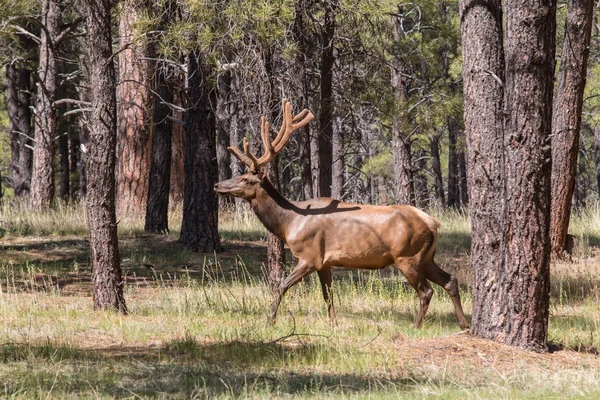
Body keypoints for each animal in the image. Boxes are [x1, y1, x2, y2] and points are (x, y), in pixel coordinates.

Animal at [214, 98, 468, 330]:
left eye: (245, 179)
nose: (217, 185)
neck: (288, 224)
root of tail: (433, 223)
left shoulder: (310, 256)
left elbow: (282, 285)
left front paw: (270, 320)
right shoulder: (325, 263)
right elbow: (328, 294)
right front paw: (333, 324)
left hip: (408, 255)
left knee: (426, 291)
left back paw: (416, 326)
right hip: (426, 256)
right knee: (450, 280)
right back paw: (464, 324)